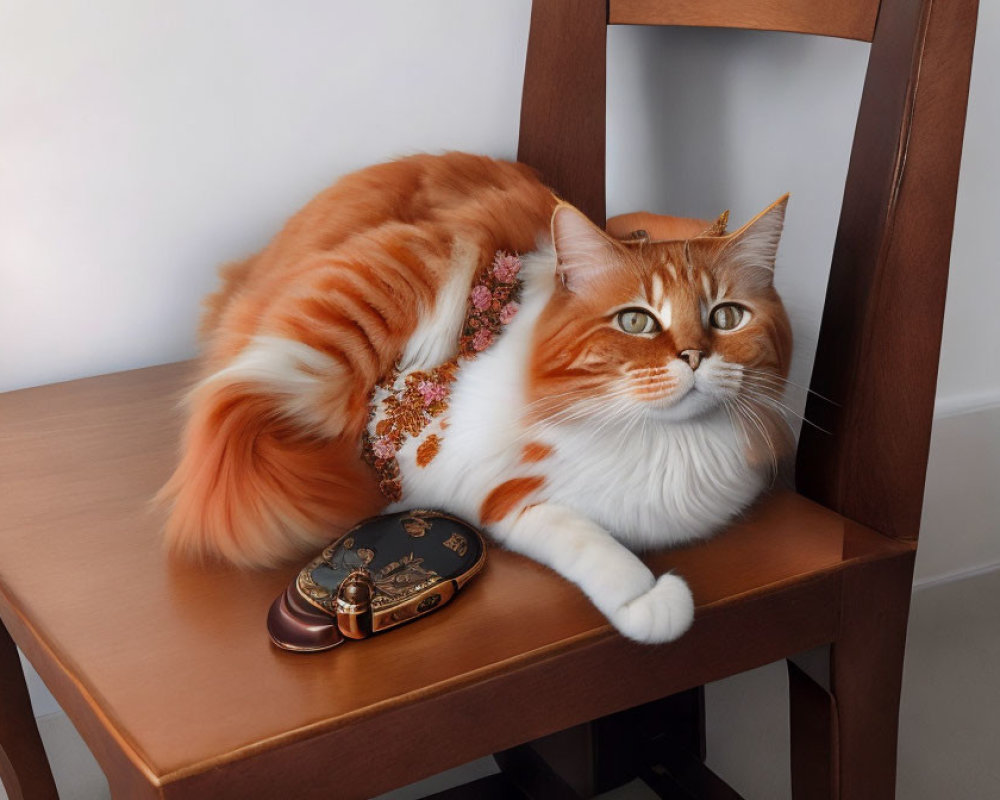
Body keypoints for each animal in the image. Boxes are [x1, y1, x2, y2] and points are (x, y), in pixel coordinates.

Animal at [162, 152, 788, 644]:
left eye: (726, 317)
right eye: (636, 321)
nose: (694, 356)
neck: (665, 447)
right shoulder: (493, 496)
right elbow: (591, 544)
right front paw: (649, 600)